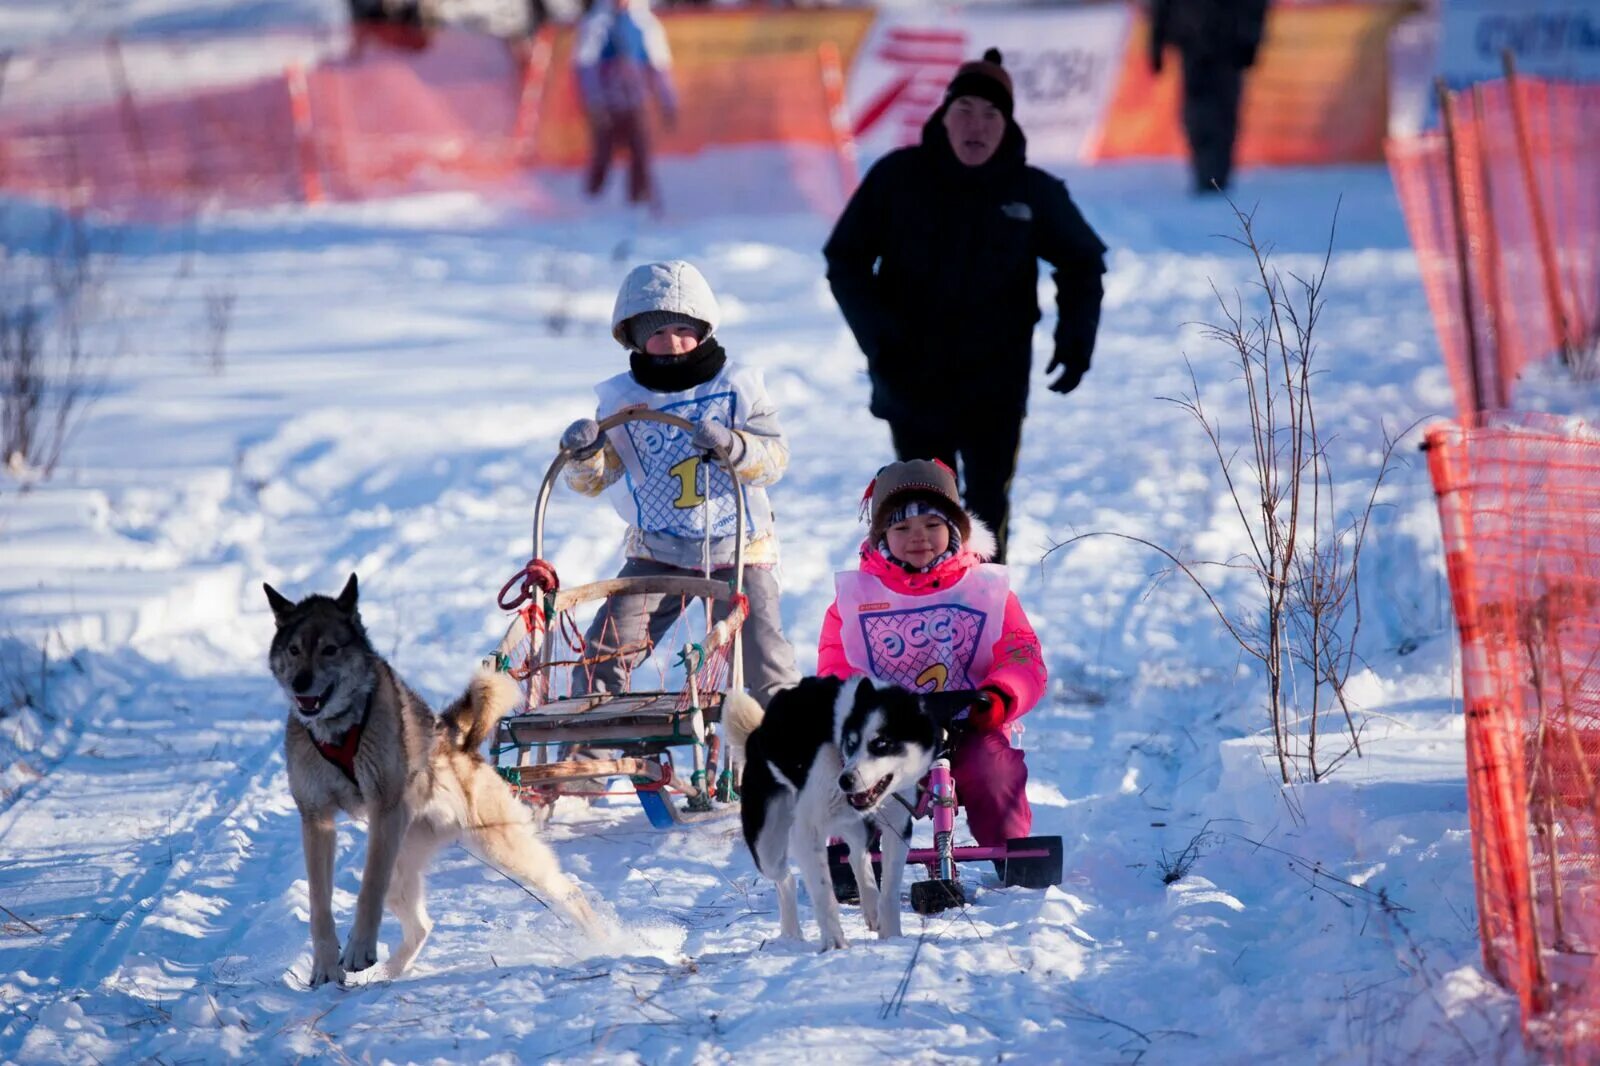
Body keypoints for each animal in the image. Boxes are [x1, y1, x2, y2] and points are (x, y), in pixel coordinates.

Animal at [264, 569, 601, 985]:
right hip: (402, 866)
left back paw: (611, 941)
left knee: (570, 891)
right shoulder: (316, 818)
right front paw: (326, 968)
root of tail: (454, 734)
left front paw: (358, 950)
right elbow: (318, 903)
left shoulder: (385, 809)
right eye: (294, 650)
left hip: (501, 847)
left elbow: (367, 890)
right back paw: (389, 972)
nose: (300, 683)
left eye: (330, 649)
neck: (337, 729)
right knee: (422, 925)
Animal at [723, 672, 960, 947]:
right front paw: (835, 944)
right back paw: (792, 932)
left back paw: (871, 907)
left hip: (853, 824)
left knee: (857, 854)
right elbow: (824, 896)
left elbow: (889, 890)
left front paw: (892, 936)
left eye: (881, 743)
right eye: (851, 743)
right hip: (768, 847)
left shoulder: (897, 825)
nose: (844, 780)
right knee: (786, 879)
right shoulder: (808, 831)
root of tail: (756, 735)